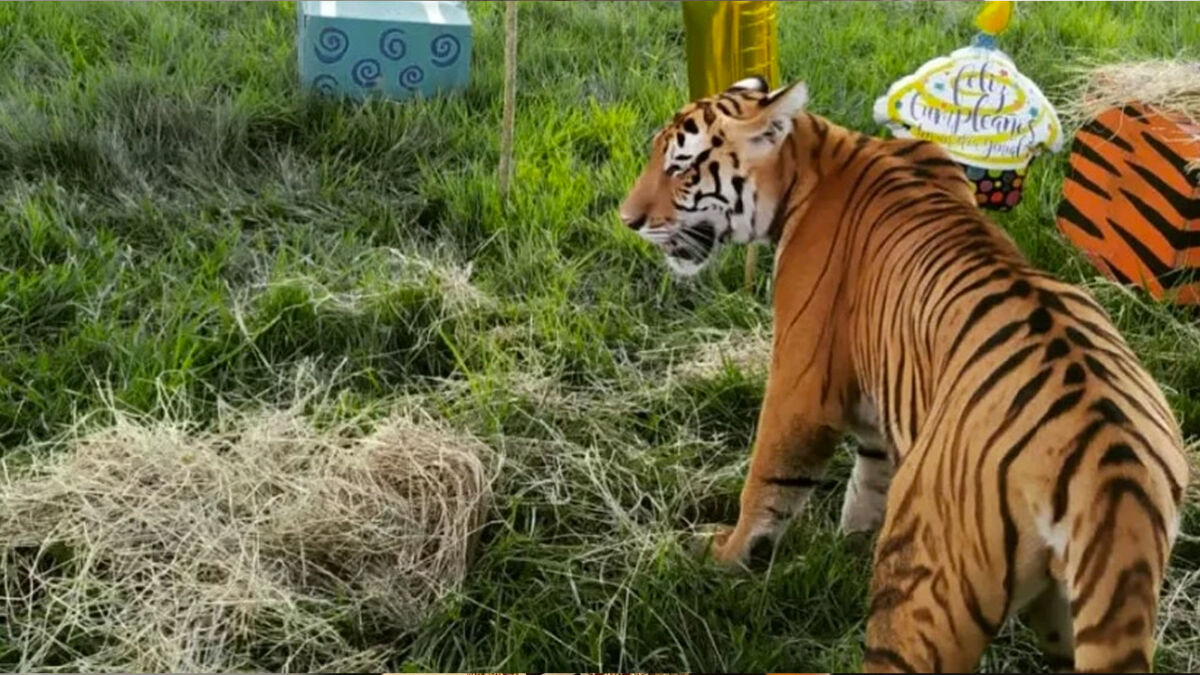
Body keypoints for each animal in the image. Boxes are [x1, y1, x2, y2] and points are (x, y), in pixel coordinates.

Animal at [618, 76, 1190, 673]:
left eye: (681, 168)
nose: (627, 219)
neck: (814, 155)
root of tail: (1113, 470)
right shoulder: (877, 394)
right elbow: (867, 481)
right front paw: (845, 551)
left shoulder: (801, 384)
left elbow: (768, 481)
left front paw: (724, 555)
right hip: (1070, 616)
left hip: (924, 587)